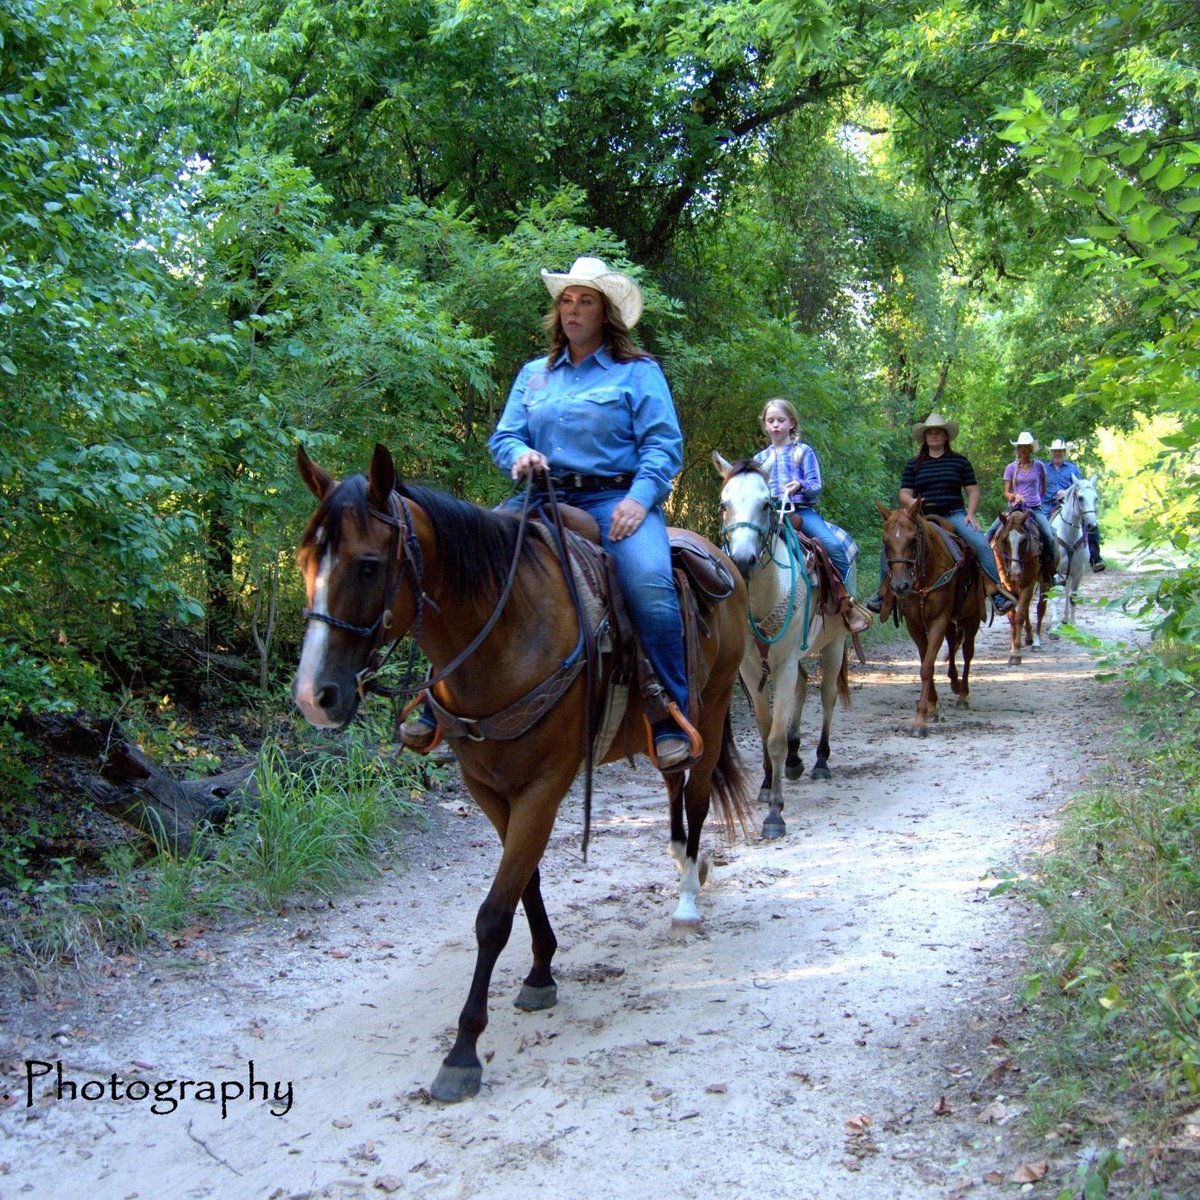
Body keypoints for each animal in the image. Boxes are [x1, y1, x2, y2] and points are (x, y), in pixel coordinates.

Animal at [290, 444, 748, 1104]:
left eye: (369, 565)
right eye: (305, 560)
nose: (313, 697)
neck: (503, 636)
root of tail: (717, 557)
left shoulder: (545, 786)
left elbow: (493, 915)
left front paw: (462, 1053)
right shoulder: (486, 786)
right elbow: (523, 882)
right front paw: (540, 971)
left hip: (711, 711)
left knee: (698, 799)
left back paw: (687, 899)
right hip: (669, 735)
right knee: (673, 784)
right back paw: (681, 859)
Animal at [710, 453, 854, 840]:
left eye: (766, 504)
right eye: (724, 504)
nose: (743, 560)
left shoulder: (785, 662)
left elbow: (774, 736)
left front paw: (775, 814)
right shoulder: (750, 668)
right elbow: (764, 730)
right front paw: (765, 785)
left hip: (834, 645)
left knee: (827, 696)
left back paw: (819, 762)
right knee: (804, 687)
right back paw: (793, 760)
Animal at [873, 501, 984, 734]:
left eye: (913, 540)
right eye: (885, 542)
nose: (900, 586)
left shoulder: (939, 620)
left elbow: (927, 667)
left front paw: (920, 721)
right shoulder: (914, 624)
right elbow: (926, 661)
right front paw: (932, 708)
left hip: (972, 618)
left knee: (967, 652)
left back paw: (962, 695)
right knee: (952, 644)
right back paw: (954, 683)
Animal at [993, 506, 1051, 667]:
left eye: (1024, 540)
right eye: (1004, 540)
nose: (1015, 573)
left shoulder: (1028, 585)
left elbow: (1019, 617)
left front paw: (1015, 654)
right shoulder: (1007, 587)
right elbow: (1013, 617)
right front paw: (1013, 647)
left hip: (1043, 581)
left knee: (1040, 608)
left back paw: (1036, 643)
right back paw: (1029, 638)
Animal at [1051, 472, 1099, 624]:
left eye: (1096, 498)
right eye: (1080, 498)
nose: (1092, 525)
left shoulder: (1078, 572)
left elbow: (1073, 597)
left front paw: (1072, 623)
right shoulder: (1056, 571)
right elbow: (1055, 597)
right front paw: (1054, 624)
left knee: (1067, 592)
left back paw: (1065, 618)